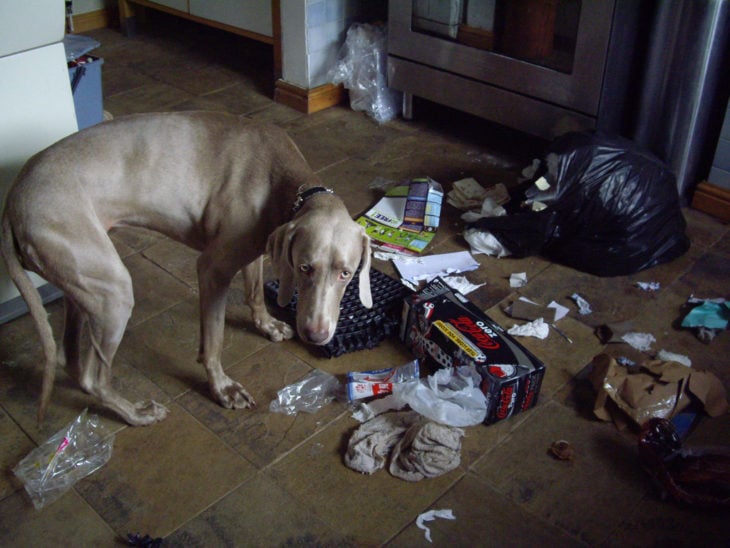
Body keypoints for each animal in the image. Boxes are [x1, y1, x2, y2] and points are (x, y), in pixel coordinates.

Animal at [1, 111, 370, 426]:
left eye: (346, 273)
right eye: (305, 268)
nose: (317, 335)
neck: (282, 181)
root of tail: (13, 198)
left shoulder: (255, 249)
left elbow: (253, 293)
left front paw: (267, 325)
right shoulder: (212, 269)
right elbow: (214, 339)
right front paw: (222, 388)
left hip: (83, 280)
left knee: (71, 359)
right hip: (112, 291)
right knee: (94, 377)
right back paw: (136, 414)